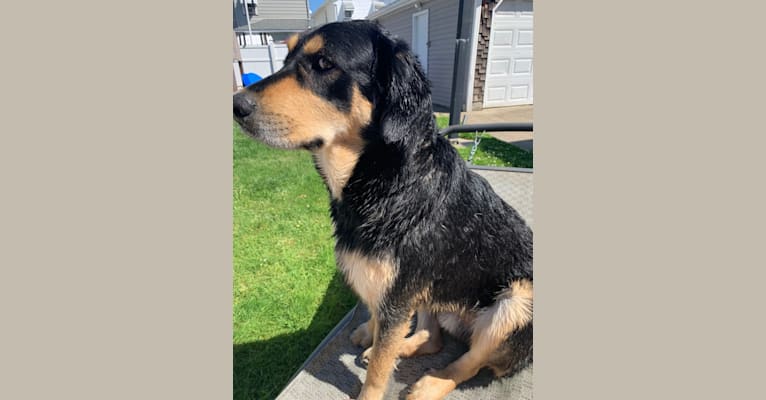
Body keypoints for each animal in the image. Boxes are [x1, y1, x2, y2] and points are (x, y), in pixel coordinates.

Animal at [234, 21, 536, 400]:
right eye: (286, 56)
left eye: (324, 63)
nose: (236, 104)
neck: (386, 180)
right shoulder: (392, 291)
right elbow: (380, 332)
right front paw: (372, 335)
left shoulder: (399, 294)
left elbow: (379, 369)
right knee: (433, 338)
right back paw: (405, 346)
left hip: (517, 300)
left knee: (470, 362)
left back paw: (431, 383)